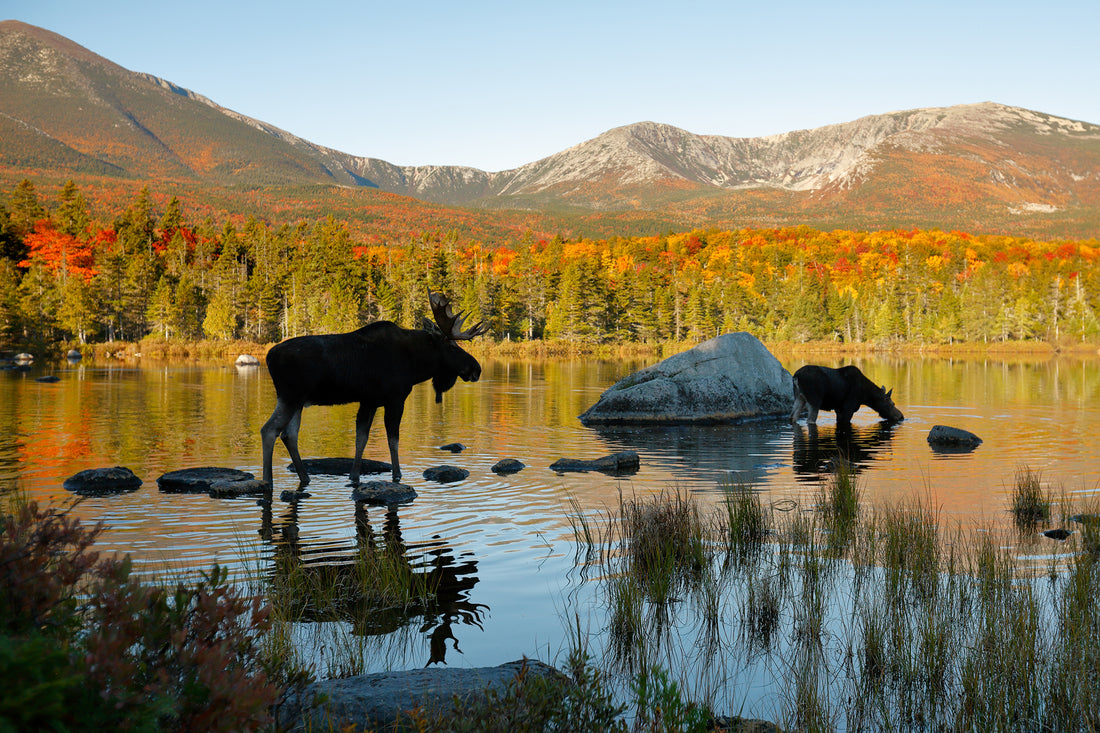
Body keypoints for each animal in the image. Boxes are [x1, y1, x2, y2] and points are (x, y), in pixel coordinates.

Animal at [259, 288, 488, 488]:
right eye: (452, 347)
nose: (476, 368)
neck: (416, 366)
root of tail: (269, 357)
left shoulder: (369, 400)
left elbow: (361, 438)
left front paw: (354, 476)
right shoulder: (395, 399)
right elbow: (393, 439)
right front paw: (397, 475)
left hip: (298, 401)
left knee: (289, 435)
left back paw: (304, 477)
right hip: (290, 396)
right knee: (269, 430)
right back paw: (268, 481)